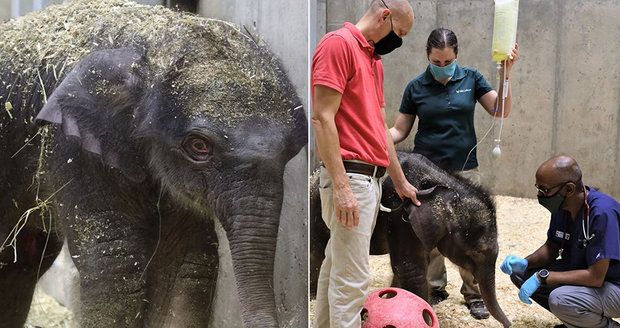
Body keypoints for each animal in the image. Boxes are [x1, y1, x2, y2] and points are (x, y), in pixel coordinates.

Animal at [312, 152, 512, 326]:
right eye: (476, 252)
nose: (509, 324)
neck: (442, 186)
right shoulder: (400, 215)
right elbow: (411, 269)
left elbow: (409, 266)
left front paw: (390, 297)